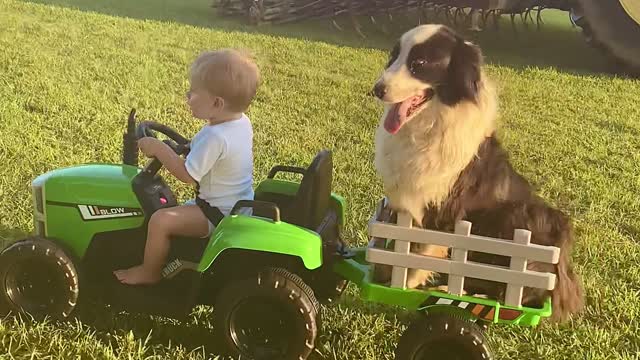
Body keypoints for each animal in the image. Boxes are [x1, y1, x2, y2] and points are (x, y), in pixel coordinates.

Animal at [370, 25, 584, 324]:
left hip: (522, 215)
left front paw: (404, 289)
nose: (377, 89)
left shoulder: (448, 209)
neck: (428, 123)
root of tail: (562, 269)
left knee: (518, 290)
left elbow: (424, 253)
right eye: (393, 57)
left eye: (419, 64)